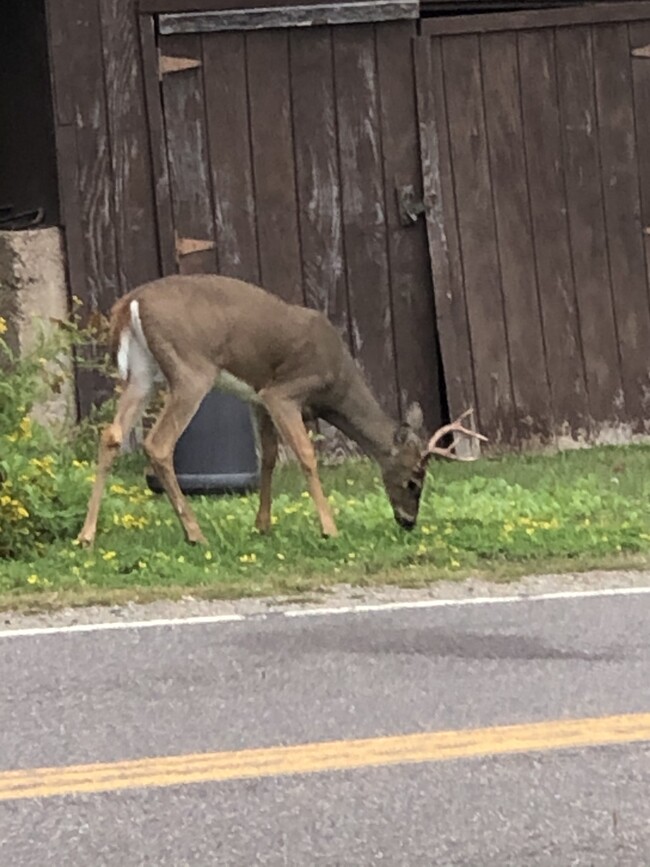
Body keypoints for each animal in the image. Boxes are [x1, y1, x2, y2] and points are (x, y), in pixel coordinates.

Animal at [76, 274, 484, 544]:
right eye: (415, 479)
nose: (408, 522)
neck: (337, 381)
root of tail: (130, 302)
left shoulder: (258, 398)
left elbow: (269, 457)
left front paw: (262, 524)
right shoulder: (284, 393)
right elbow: (305, 454)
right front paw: (329, 528)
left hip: (143, 373)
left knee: (111, 435)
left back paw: (86, 535)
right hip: (191, 369)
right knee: (158, 444)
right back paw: (195, 534)